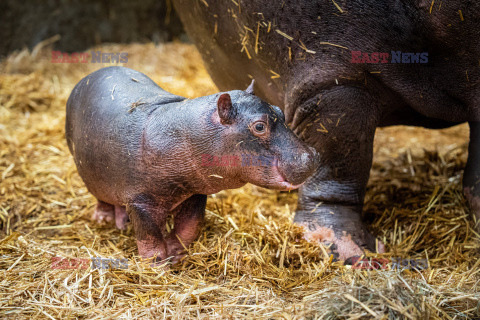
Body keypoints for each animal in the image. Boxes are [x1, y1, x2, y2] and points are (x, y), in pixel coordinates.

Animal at [64, 66, 318, 264]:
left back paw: (123, 224)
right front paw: (158, 266)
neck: (190, 132)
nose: (312, 156)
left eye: (280, 111)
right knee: (102, 198)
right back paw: (104, 220)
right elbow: (150, 240)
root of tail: (87, 77)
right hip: (93, 174)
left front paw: (176, 253)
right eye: (259, 126)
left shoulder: (194, 191)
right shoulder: (140, 201)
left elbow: (189, 228)